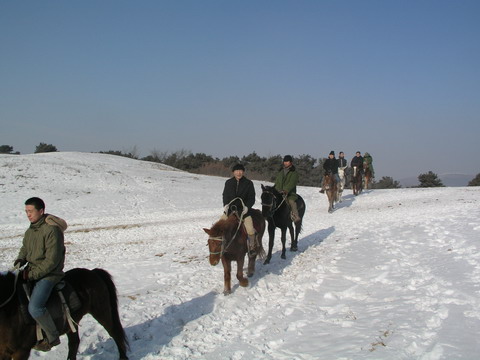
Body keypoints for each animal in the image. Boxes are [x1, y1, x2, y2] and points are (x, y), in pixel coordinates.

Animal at [0, 268, 129, 360]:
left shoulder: (22, 351)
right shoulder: (4, 351)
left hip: (102, 313)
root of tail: (93, 272)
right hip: (71, 323)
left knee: (115, 333)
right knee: (74, 343)